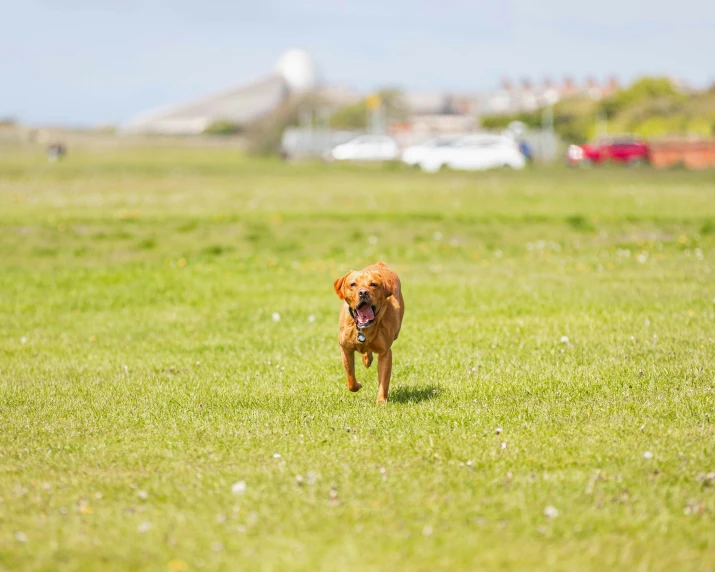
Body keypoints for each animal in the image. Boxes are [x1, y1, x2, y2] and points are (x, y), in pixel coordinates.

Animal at [334, 262, 406, 402]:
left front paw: (381, 401)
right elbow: (350, 377)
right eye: (353, 284)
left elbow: (384, 381)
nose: (363, 293)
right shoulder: (345, 349)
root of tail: (380, 264)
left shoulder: (385, 353)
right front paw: (356, 385)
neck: (363, 328)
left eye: (373, 284)